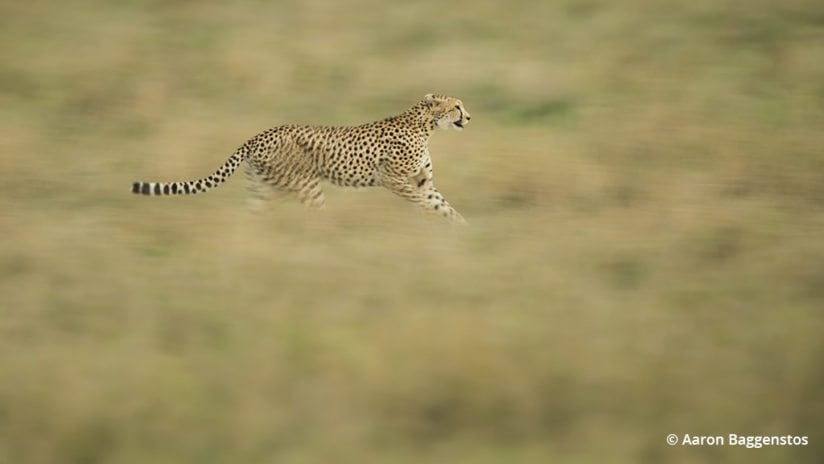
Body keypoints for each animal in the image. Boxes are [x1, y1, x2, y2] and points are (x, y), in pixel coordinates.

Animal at [133, 93, 474, 222]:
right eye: (456, 106)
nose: (469, 117)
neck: (425, 125)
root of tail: (258, 135)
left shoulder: (423, 181)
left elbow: (443, 205)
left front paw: (461, 229)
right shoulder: (395, 180)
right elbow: (424, 203)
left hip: (263, 186)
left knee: (252, 212)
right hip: (306, 183)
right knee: (316, 215)